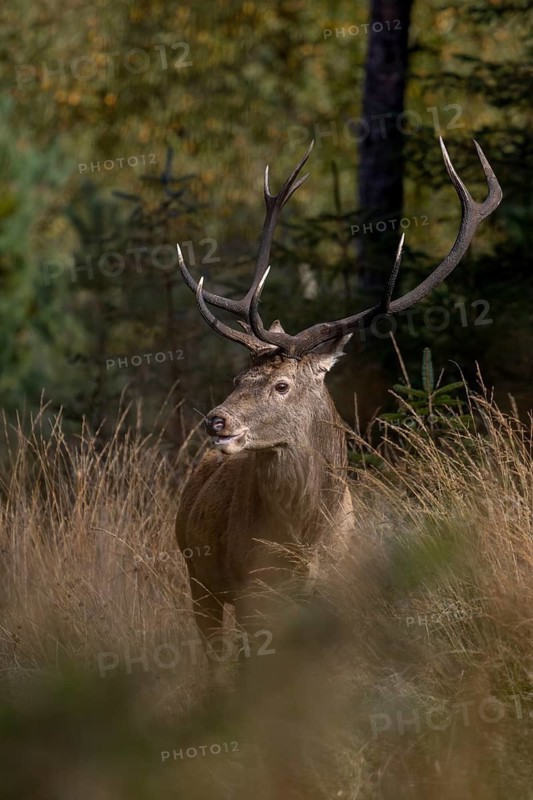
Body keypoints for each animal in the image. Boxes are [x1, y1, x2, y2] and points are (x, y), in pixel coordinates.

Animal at [174, 138, 502, 652]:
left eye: (282, 385)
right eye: (237, 379)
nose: (216, 421)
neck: (304, 539)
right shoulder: (253, 593)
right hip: (198, 581)